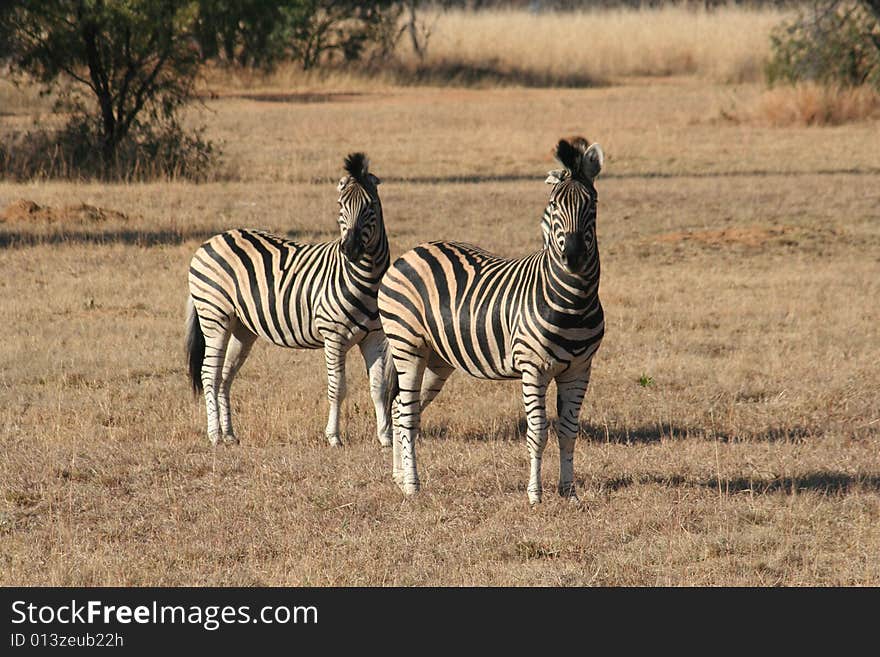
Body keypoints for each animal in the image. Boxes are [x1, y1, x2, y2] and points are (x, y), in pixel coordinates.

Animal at [186, 151, 396, 446]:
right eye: (340, 206)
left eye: (371, 206)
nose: (350, 249)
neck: (367, 277)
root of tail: (212, 240)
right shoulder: (334, 336)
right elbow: (337, 388)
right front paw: (334, 437)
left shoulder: (374, 337)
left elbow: (378, 387)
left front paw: (385, 438)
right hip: (214, 316)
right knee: (209, 374)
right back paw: (215, 435)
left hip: (242, 328)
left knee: (225, 376)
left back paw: (229, 434)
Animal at [378, 138, 604, 502]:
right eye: (554, 206)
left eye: (592, 206)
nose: (572, 257)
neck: (574, 303)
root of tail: (411, 251)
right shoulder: (533, 368)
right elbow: (538, 432)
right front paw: (535, 495)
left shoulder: (580, 370)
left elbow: (569, 431)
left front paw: (569, 492)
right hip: (407, 345)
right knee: (408, 412)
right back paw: (412, 485)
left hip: (437, 358)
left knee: (399, 408)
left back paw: (400, 478)